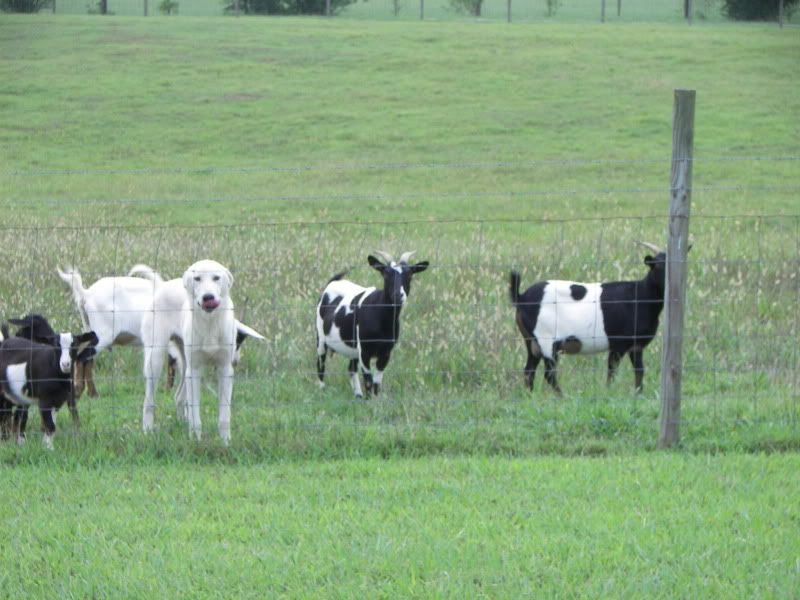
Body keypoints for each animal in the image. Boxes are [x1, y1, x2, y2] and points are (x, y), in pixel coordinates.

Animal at [0, 320, 98, 449]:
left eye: (74, 345)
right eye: (56, 345)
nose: (65, 364)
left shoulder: (57, 401)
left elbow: (50, 425)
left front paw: (47, 446)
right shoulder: (44, 400)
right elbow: (50, 426)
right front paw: (49, 448)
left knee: (16, 416)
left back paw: (17, 442)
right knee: (6, 415)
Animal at [316, 251, 429, 397]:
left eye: (410, 274)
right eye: (385, 273)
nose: (398, 295)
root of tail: (333, 282)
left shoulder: (386, 352)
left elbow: (376, 383)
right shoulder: (365, 351)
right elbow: (368, 381)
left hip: (353, 349)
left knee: (351, 368)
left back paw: (358, 395)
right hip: (320, 337)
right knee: (320, 364)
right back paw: (322, 390)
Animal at [509, 242, 674, 394]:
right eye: (658, 266)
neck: (641, 296)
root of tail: (521, 297)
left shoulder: (636, 346)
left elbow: (639, 370)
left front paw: (638, 395)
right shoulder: (618, 344)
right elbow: (612, 370)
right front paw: (608, 392)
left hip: (532, 342)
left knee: (529, 371)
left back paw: (531, 396)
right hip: (546, 340)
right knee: (549, 374)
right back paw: (563, 397)